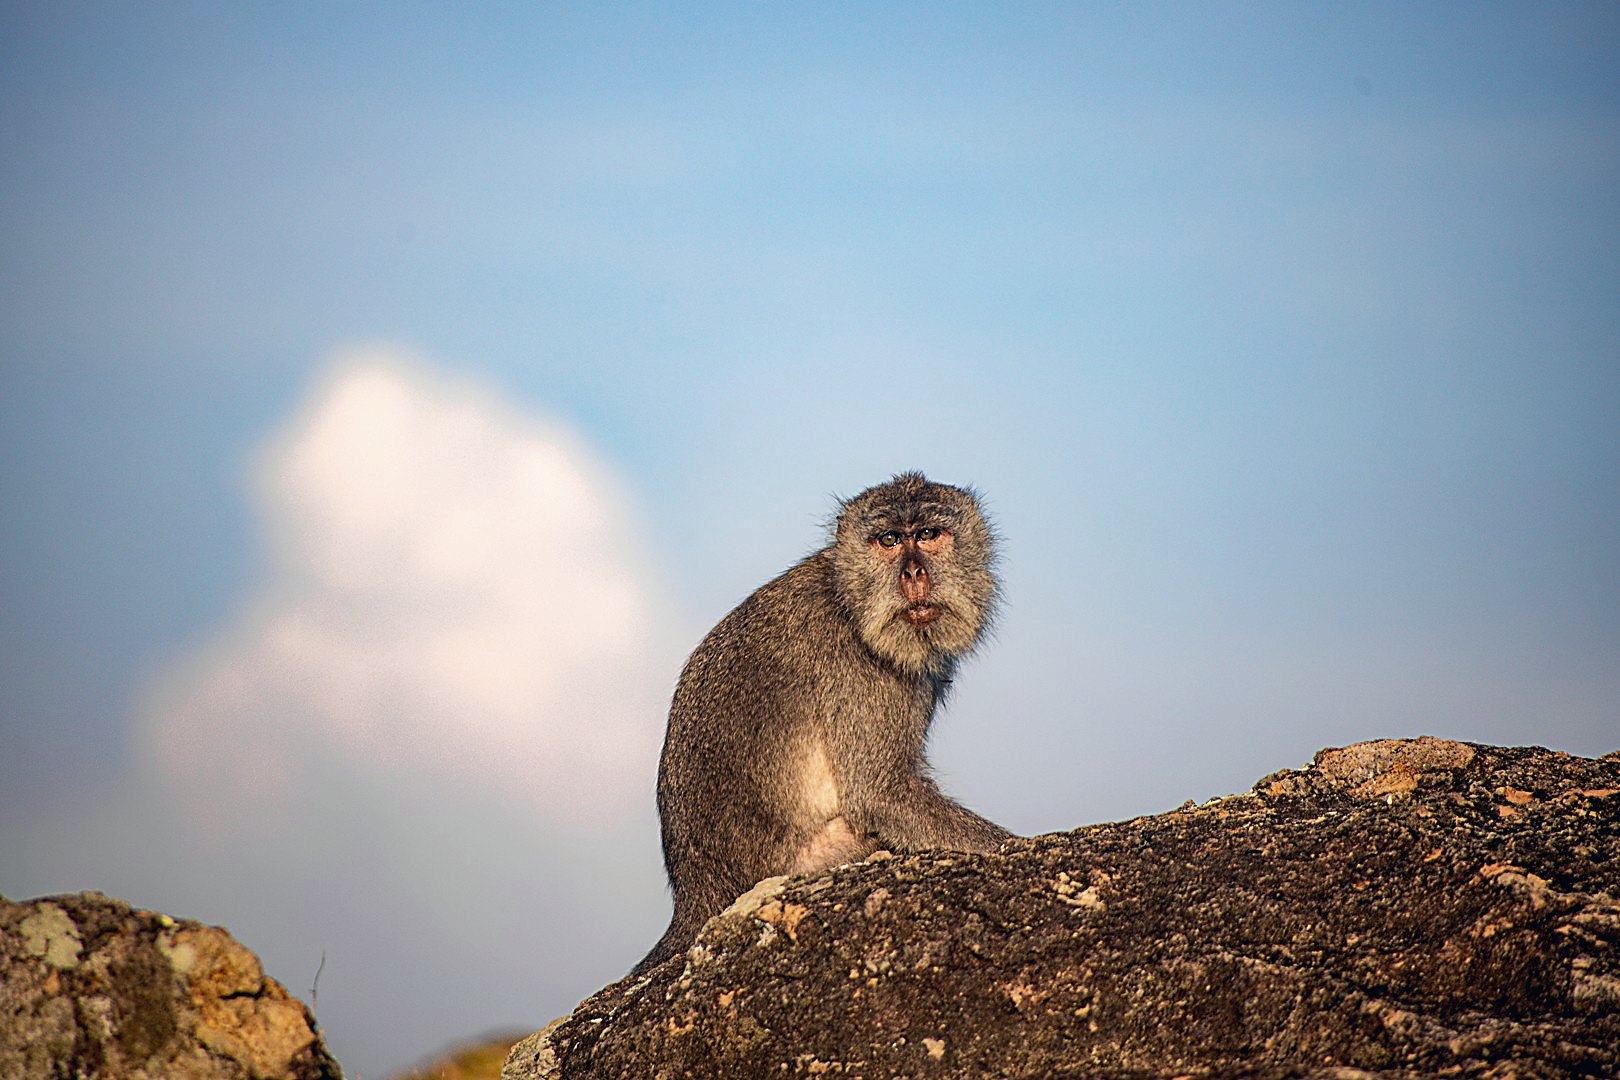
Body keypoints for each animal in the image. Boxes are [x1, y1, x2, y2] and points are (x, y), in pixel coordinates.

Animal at [633, 471, 1012, 974]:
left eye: (929, 534)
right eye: (890, 540)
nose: (913, 574)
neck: (849, 597)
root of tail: (695, 895)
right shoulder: (857, 668)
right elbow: (882, 793)